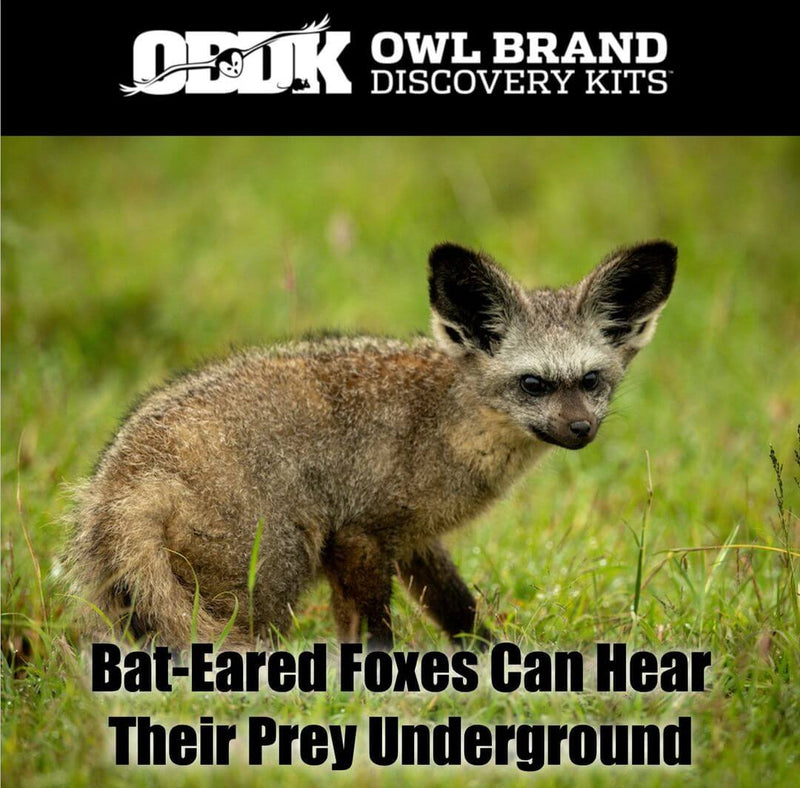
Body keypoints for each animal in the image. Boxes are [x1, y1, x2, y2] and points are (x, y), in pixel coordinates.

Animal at [66, 240, 676, 651]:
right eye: (534, 384)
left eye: (591, 381)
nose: (581, 430)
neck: (447, 423)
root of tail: (123, 482)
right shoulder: (359, 533)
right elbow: (377, 628)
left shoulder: (409, 537)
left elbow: (457, 608)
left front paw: (491, 656)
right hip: (271, 581)